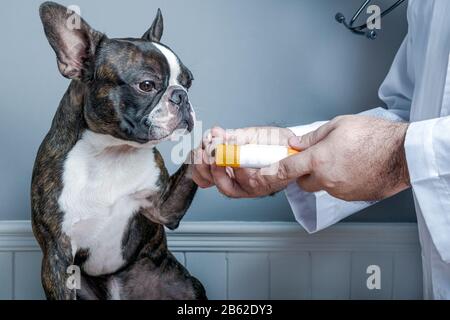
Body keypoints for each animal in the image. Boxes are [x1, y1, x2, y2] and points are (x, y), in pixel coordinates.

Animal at [31, 1, 206, 300]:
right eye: (146, 85)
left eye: (188, 82)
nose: (181, 95)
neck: (111, 151)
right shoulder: (57, 254)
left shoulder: (164, 208)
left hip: (187, 286)